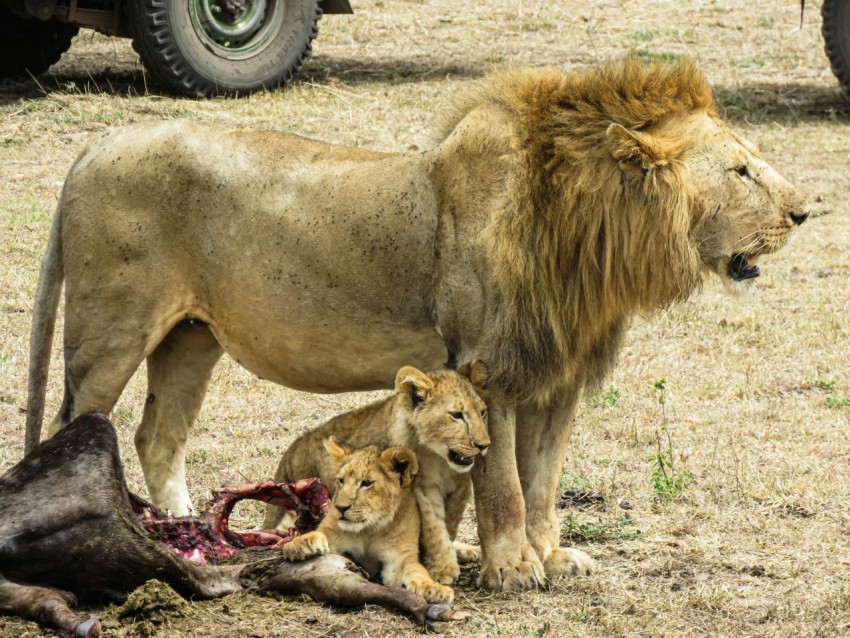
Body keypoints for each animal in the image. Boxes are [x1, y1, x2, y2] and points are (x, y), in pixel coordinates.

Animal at [28, 57, 808, 592]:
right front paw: (511, 569)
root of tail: (93, 148)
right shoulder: (488, 368)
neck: (587, 239)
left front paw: (553, 555)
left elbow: (545, 481)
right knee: (72, 428)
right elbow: (503, 485)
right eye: (741, 171)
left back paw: (189, 537)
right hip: (110, 330)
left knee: (158, 435)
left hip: (191, 337)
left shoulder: (557, 381)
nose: (804, 212)